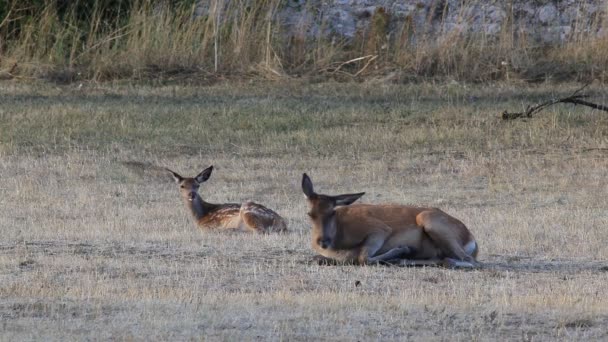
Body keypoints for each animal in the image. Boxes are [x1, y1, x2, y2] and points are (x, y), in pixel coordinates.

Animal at [302, 174, 478, 268]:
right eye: (309, 213)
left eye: (332, 212)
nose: (322, 241)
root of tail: (472, 240)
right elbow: (316, 258)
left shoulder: (379, 229)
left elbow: (363, 258)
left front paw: (401, 249)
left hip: (428, 219)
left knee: (469, 260)